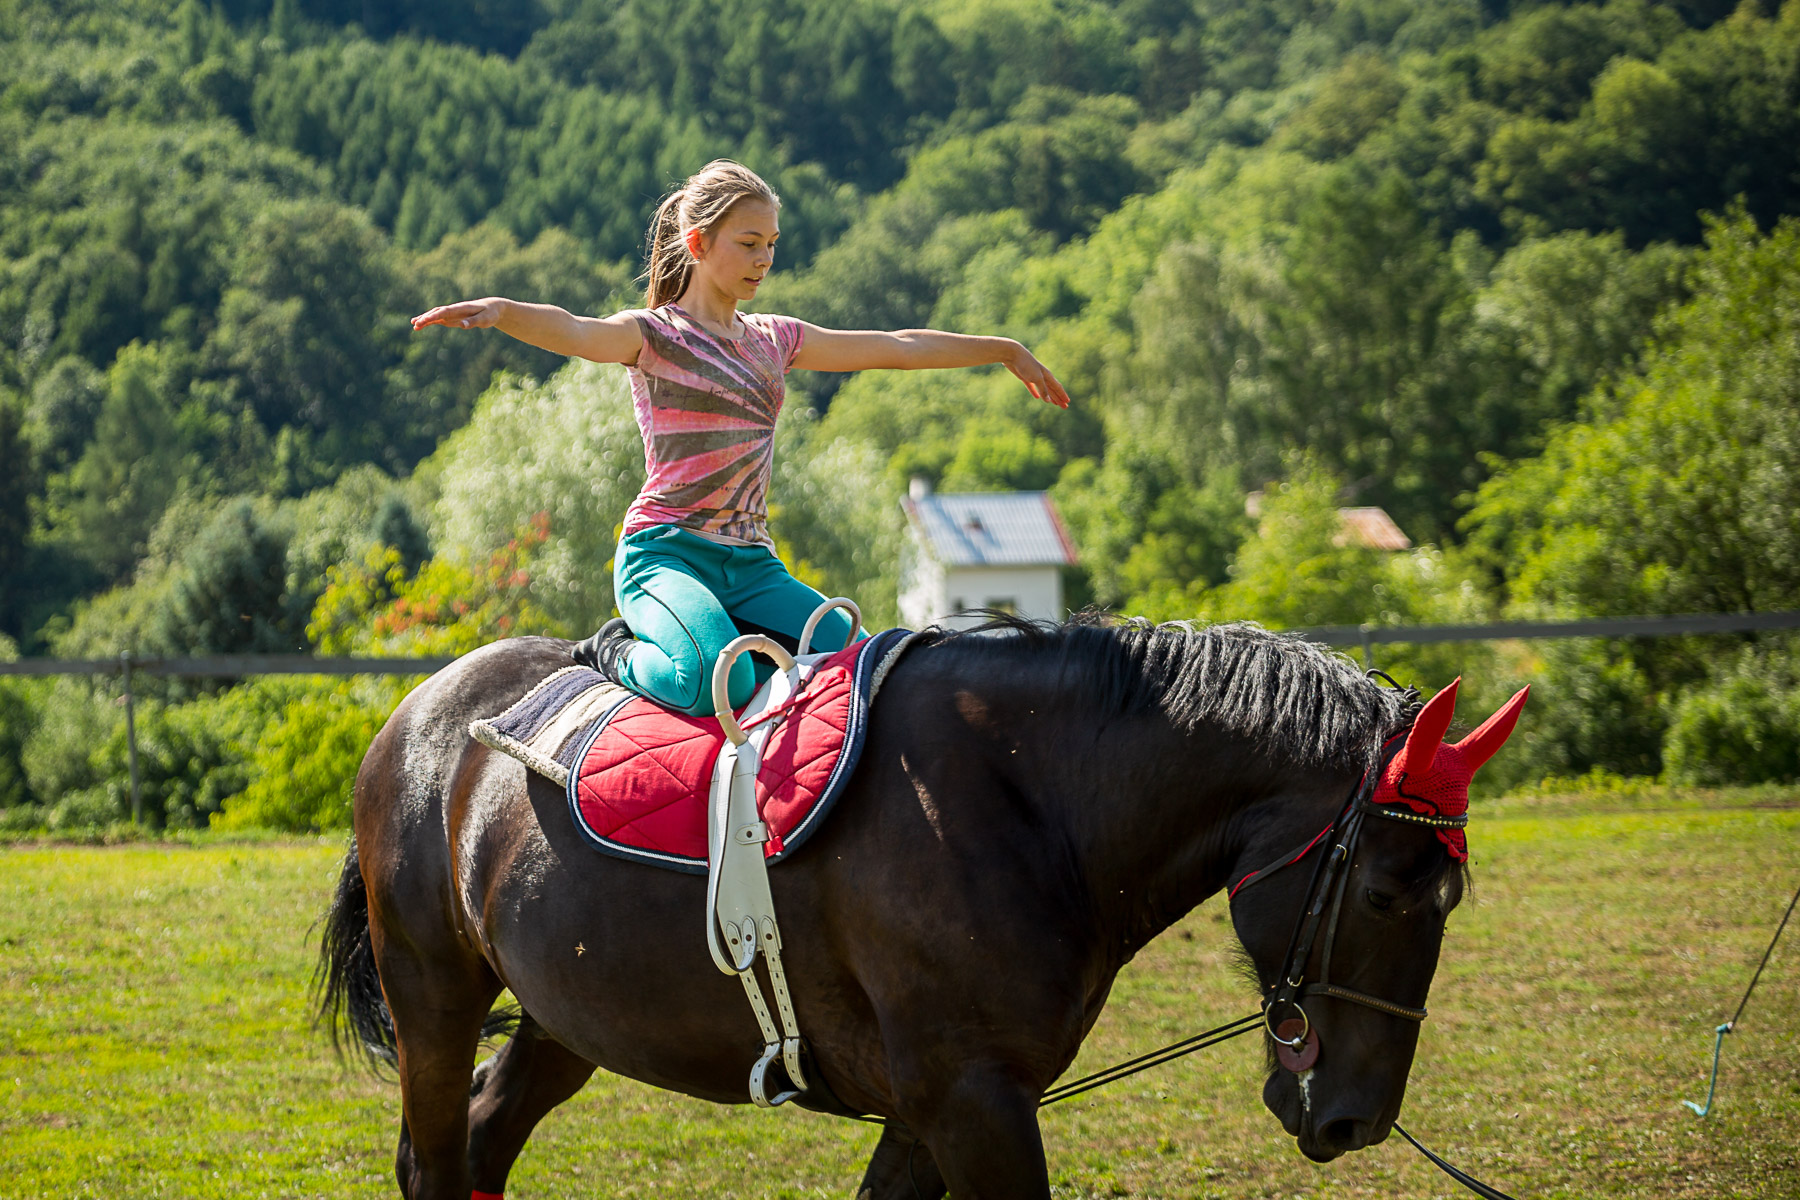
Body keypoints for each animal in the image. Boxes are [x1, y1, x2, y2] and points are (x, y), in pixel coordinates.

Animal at [318, 614, 1525, 1199]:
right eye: (1386, 891)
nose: (1356, 1120)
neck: (1031, 806)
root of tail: (423, 709)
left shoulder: (932, 1110)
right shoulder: (973, 1104)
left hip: (566, 1019)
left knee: (483, 1139)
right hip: (436, 999)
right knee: (436, 1158)